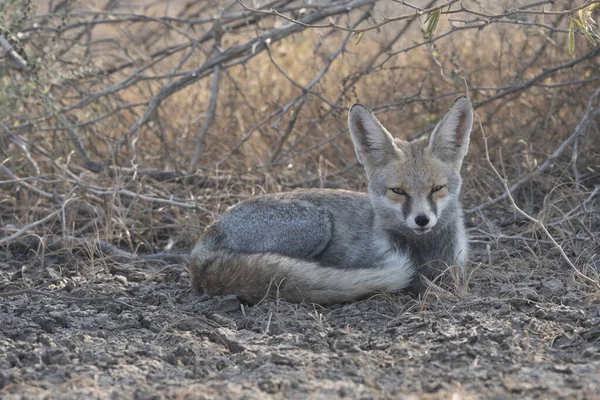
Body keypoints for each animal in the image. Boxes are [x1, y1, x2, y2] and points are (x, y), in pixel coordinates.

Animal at [188, 96, 474, 304]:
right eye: (398, 191)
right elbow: (425, 283)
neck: (426, 251)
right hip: (317, 223)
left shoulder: (455, 266)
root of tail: (200, 246)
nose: (422, 220)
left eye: (436, 188)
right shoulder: (389, 262)